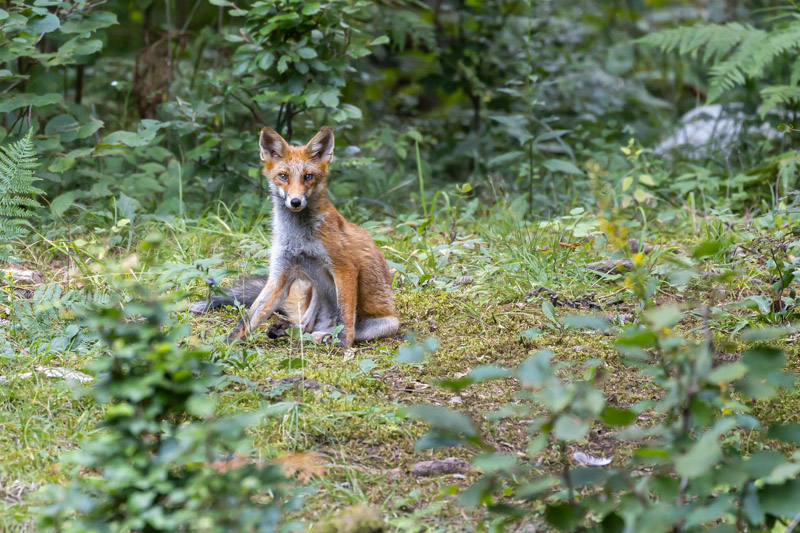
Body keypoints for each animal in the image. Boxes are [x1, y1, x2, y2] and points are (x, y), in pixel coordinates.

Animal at [195, 126, 400, 348]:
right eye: (283, 176)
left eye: (308, 176)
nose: (295, 201)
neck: (298, 237)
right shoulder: (281, 273)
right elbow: (249, 318)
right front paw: (227, 344)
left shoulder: (345, 268)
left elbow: (346, 319)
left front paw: (344, 345)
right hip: (315, 290)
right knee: (306, 325)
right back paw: (288, 330)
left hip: (387, 323)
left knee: (328, 328)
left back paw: (323, 337)